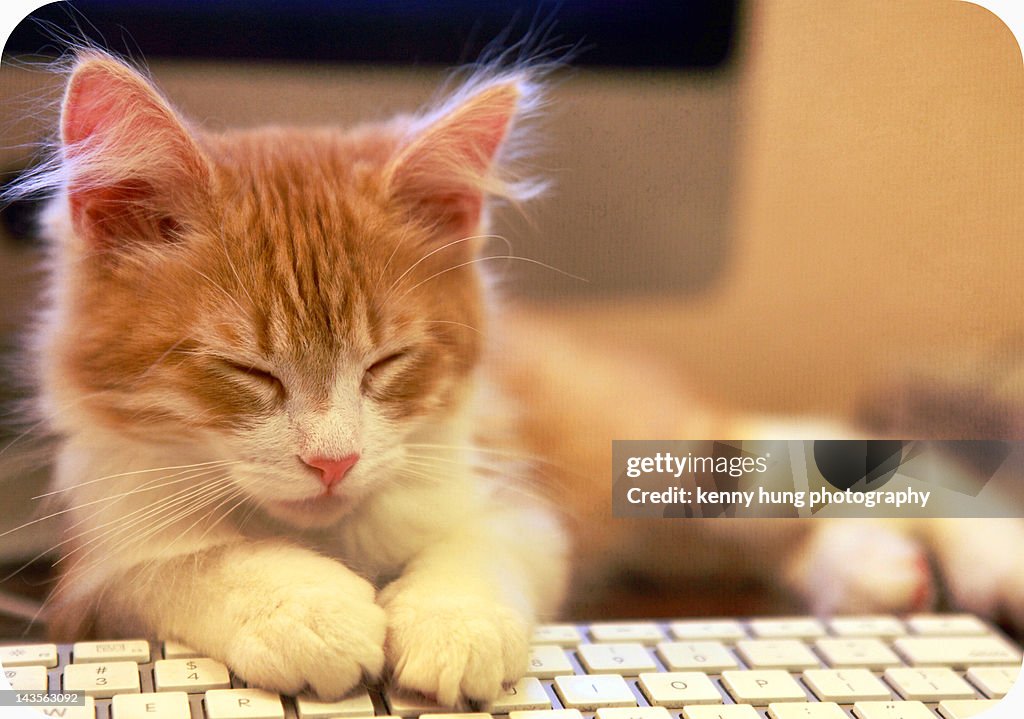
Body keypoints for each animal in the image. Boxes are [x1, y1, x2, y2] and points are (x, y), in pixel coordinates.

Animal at [29, 53, 569, 708]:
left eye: (386, 362)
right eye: (248, 371)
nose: (334, 464)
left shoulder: (510, 491)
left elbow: (489, 538)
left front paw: (456, 620)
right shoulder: (88, 570)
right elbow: (182, 561)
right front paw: (305, 608)